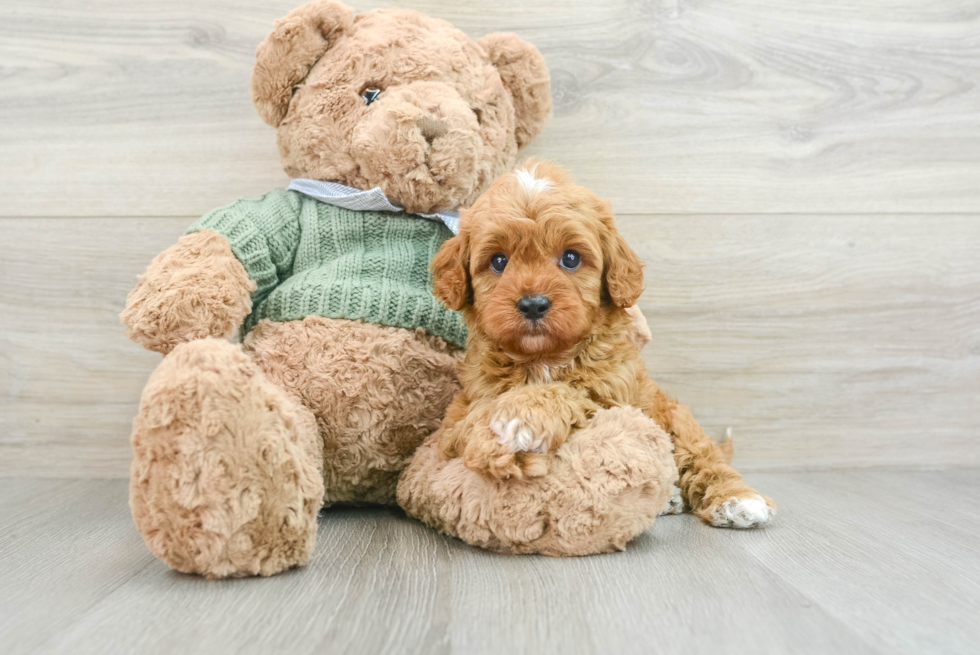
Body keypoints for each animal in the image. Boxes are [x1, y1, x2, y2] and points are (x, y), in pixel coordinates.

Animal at [432, 161, 776, 532]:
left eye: (570, 258)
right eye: (498, 261)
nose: (533, 304)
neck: (544, 358)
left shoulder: (614, 396)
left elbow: (571, 393)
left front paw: (521, 417)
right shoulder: (458, 419)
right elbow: (474, 422)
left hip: (673, 417)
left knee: (701, 455)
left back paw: (739, 499)